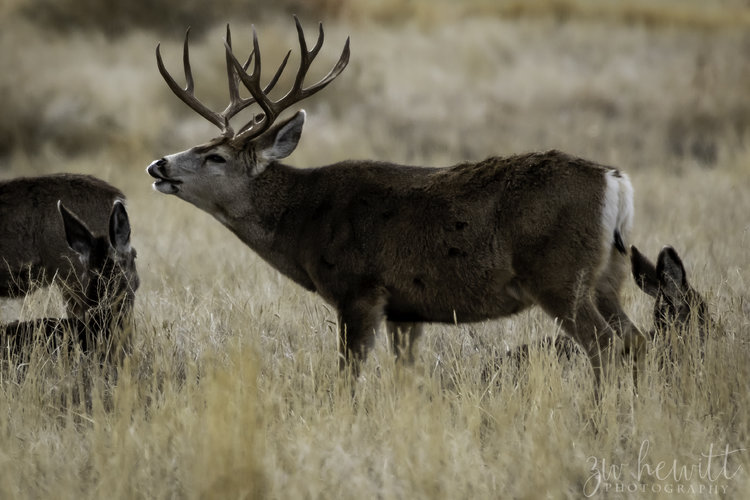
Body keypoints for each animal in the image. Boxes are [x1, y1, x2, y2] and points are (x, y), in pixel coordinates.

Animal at [150, 14, 644, 382]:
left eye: (214, 156)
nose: (158, 166)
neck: (306, 220)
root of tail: (615, 182)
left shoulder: (359, 290)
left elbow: (348, 375)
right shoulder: (407, 309)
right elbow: (406, 376)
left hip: (560, 275)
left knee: (604, 345)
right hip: (608, 275)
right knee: (635, 340)